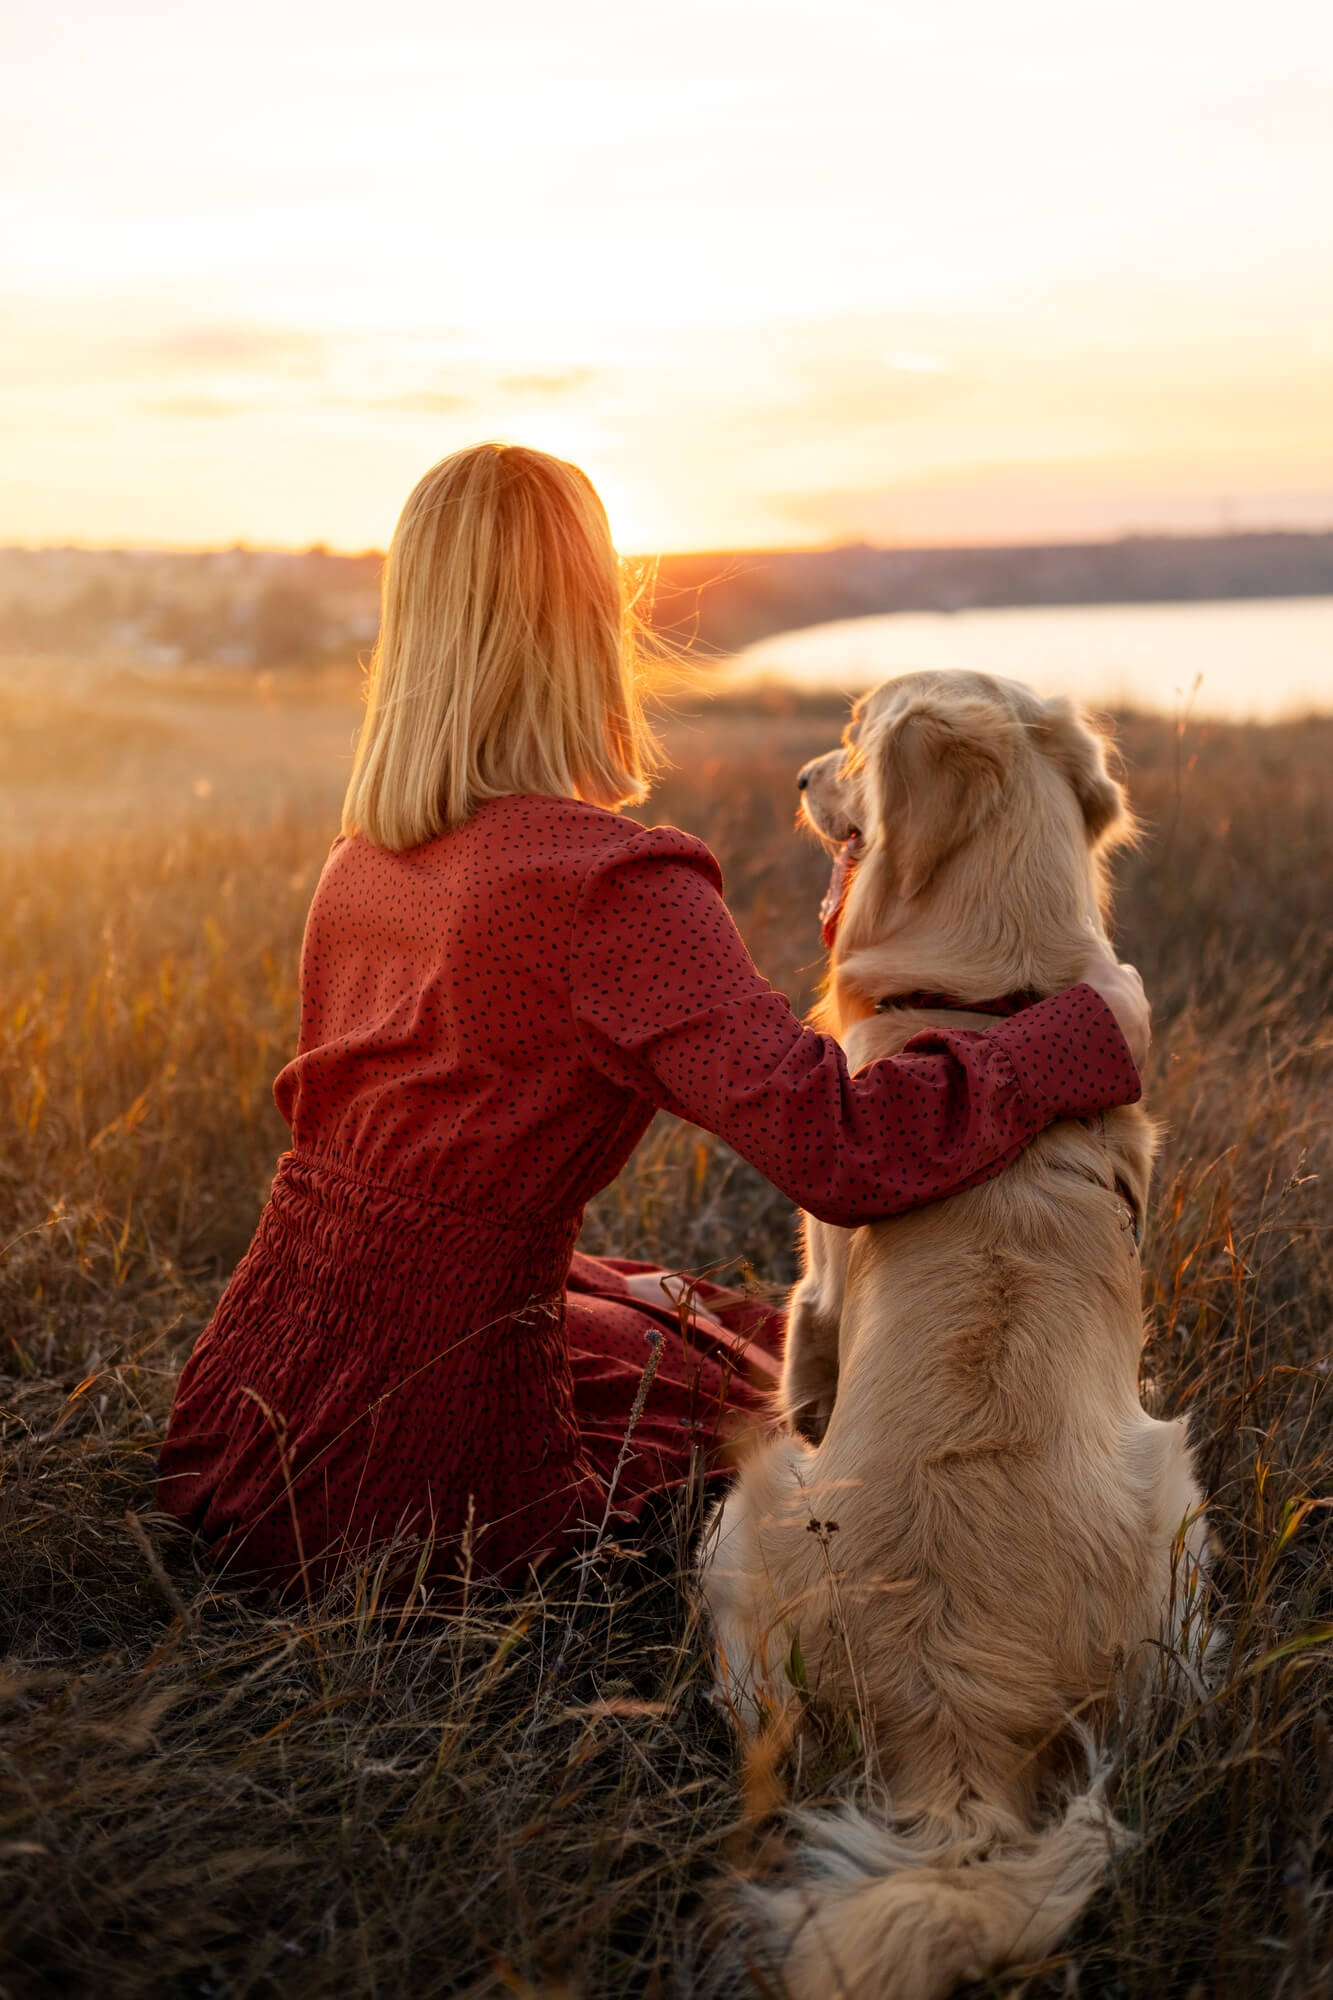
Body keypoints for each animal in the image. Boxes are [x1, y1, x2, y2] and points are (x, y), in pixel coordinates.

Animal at [696, 672, 1200, 2000]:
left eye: (853, 731)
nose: (802, 772)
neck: (990, 1005)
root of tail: (958, 1724)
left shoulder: (814, 1279)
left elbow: (806, 1346)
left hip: (748, 1505)